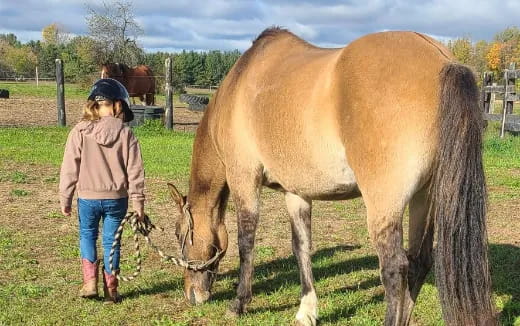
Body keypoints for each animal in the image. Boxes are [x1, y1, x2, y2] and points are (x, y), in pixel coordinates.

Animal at [169, 28, 498, 326]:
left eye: (178, 233)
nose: (191, 295)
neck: (237, 88)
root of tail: (442, 60)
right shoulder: (296, 193)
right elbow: (300, 246)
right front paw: (306, 311)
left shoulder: (243, 177)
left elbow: (246, 242)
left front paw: (239, 304)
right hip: (425, 197)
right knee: (419, 262)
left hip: (384, 205)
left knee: (395, 268)